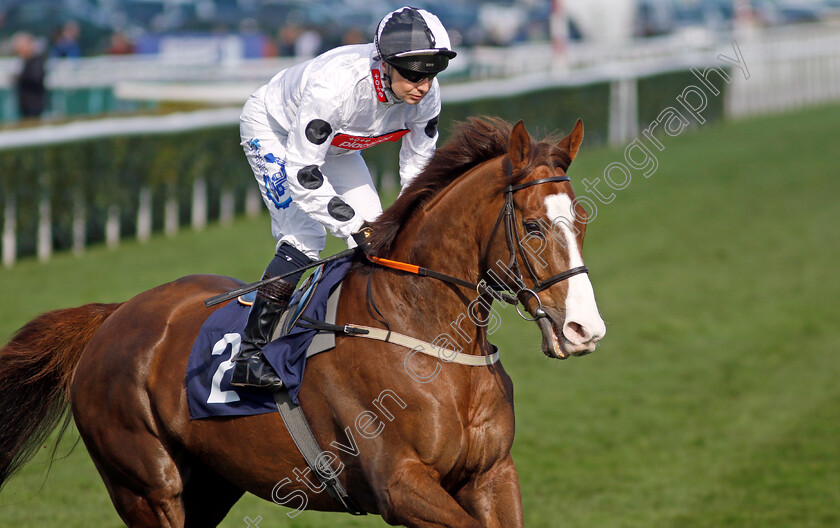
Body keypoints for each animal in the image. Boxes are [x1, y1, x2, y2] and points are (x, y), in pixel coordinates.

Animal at [0, 117, 604, 524]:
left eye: (580, 219)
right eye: (533, 227)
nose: (585, 330)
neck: (425, 336)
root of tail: (112, 316)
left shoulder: (491, 474)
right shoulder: (401, 485)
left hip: (211, 483)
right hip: (147, 487)